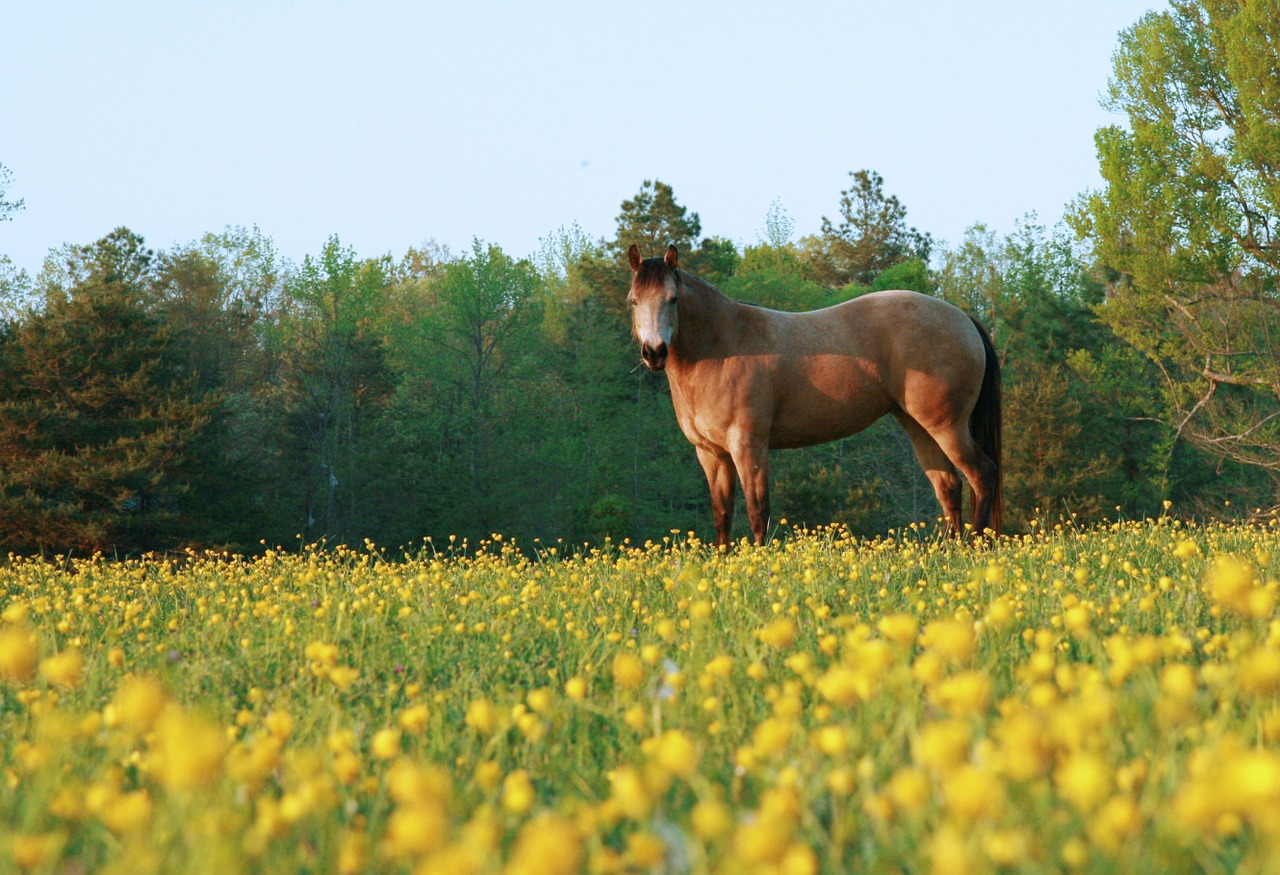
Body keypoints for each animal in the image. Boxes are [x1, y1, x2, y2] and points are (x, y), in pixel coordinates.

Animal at [627, 244, 998, 547]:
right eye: (633, 301)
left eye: (673, 299)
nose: (654, 353)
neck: (722, 346)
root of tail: (963, 318)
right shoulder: (711, 453)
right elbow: (722, 516)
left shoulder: (748, 446)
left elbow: (758, 511)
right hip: (919, 426)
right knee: (949, 487)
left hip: (947, 427)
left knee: (982, 474)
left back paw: (977, 547)